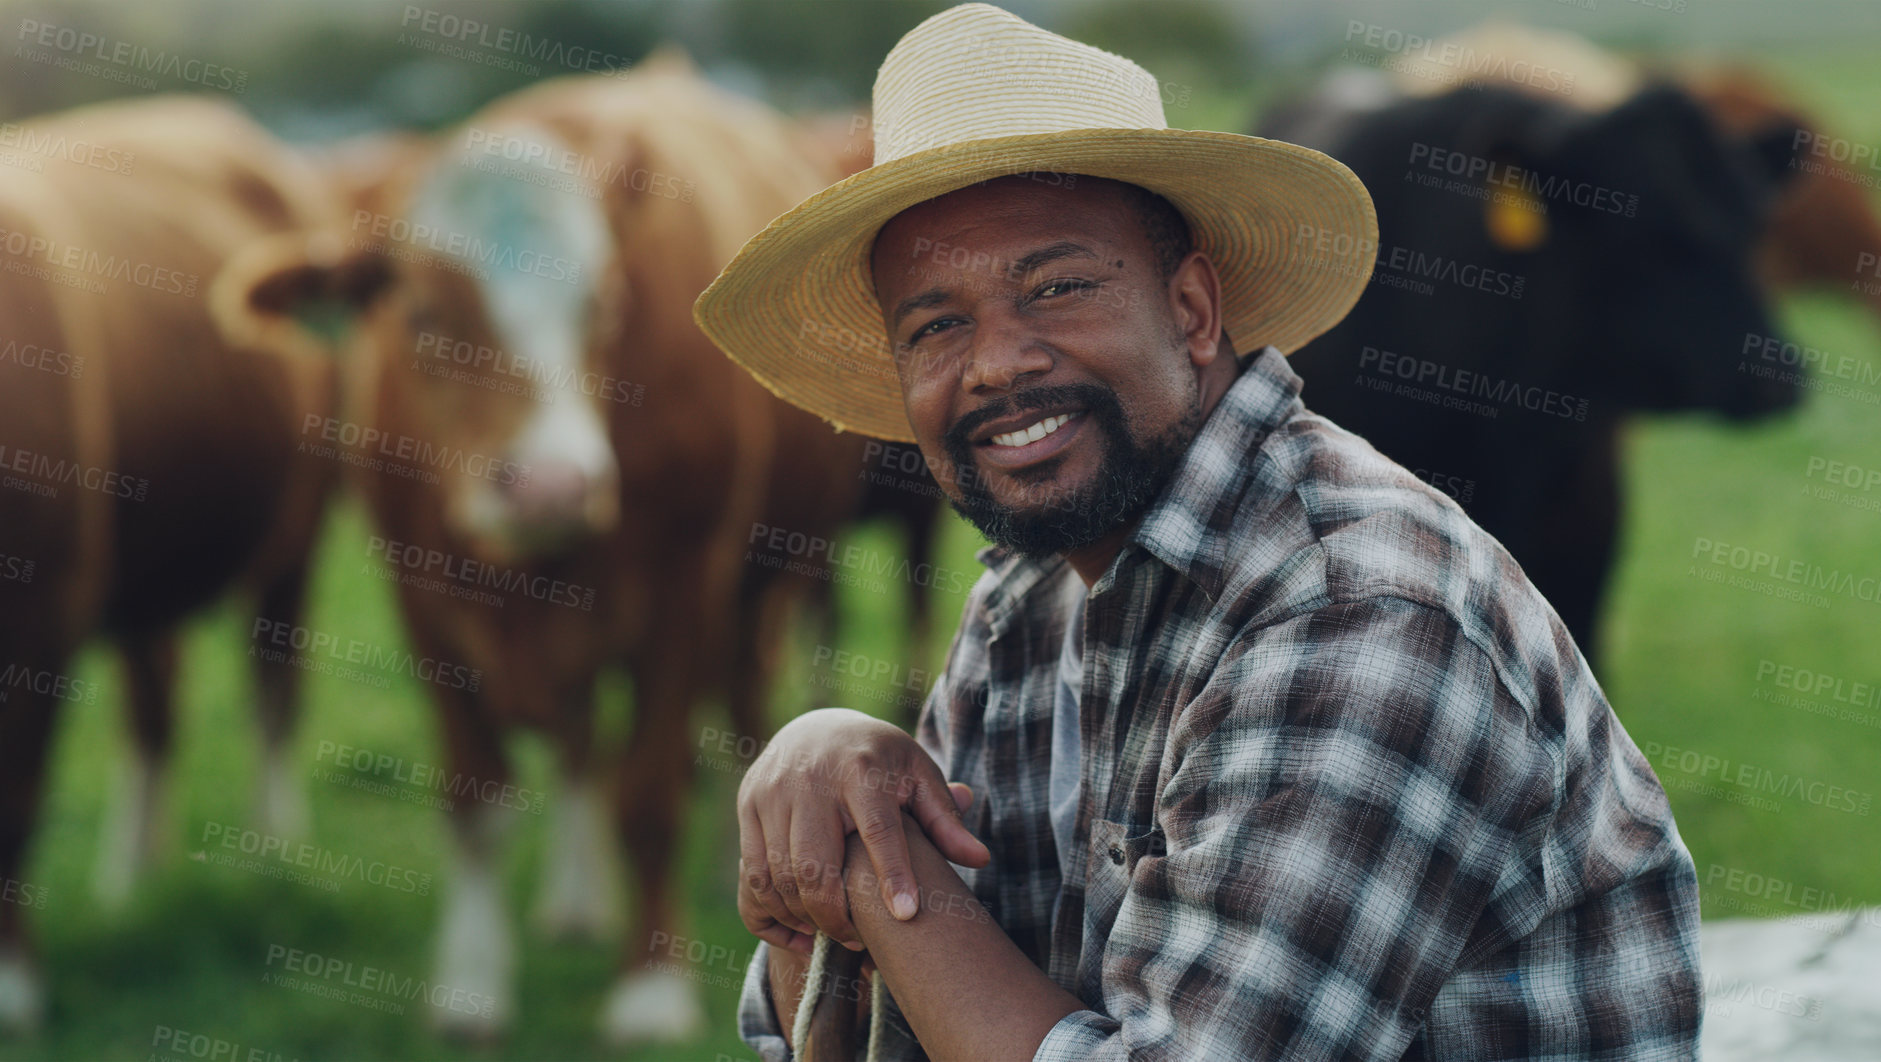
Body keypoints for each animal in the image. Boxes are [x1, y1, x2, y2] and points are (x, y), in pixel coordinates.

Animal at [0, 93, 346, 1030]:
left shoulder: (41, 617)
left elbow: (18, 798)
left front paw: (15, 989)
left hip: (298, 532)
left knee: (274, 682)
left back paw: (271, 856)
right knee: (153, 707)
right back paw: (133, 881)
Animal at [225, 53, 880, 1037]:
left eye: (602, 304)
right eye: (420, 312)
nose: (552, 485)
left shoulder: (685, 587)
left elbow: (647, 793)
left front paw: (650, 990)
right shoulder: (421, 596)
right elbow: (475, 794)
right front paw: (470, 985)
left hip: (769, 583)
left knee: (737, 720)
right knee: (577, 745)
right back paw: (575, 901)